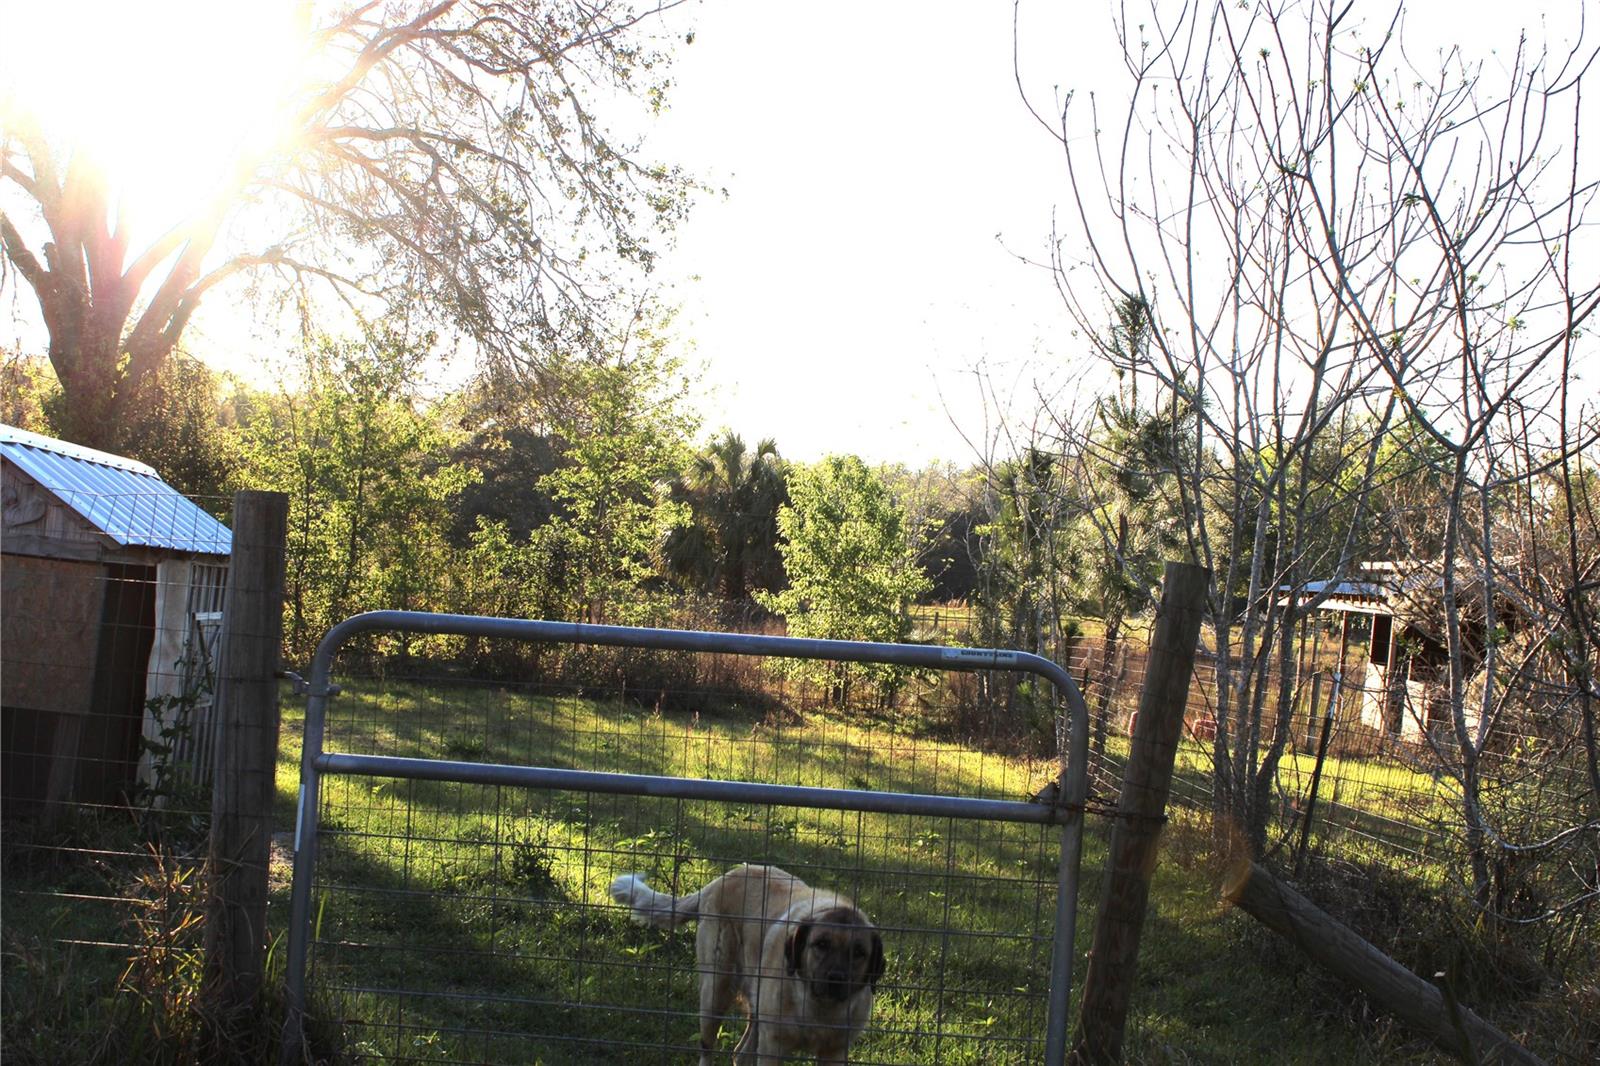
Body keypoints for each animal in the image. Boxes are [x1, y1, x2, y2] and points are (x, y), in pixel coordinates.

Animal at [609, 864, 884, 1064]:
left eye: (859, 952)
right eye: (821, 944)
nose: (836, 978)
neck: (818, 1008)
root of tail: (718, 881)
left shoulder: (834, 1052)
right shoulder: (772, 1046)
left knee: (740, 1054)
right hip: (716, 992)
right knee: (707, 1049)